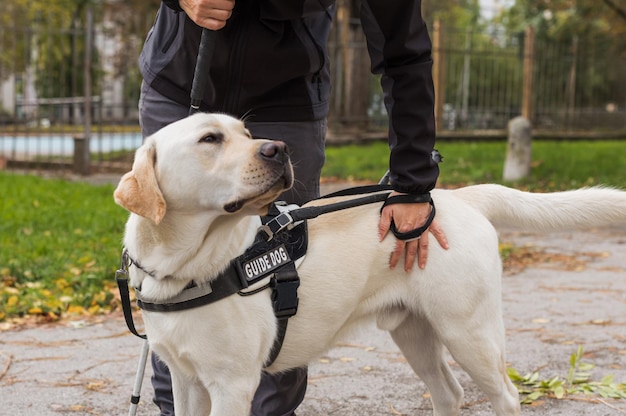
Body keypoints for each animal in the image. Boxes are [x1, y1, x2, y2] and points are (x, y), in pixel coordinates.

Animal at [114, 112, 624, 414]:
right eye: (210, 139)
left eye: (247, 133)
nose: (277, 148)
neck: (184, 268)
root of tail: (458, 196)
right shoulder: (186, 379)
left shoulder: (233, 383)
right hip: (414, 331)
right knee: (449, 392)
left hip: (470, 333)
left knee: (505, 396)